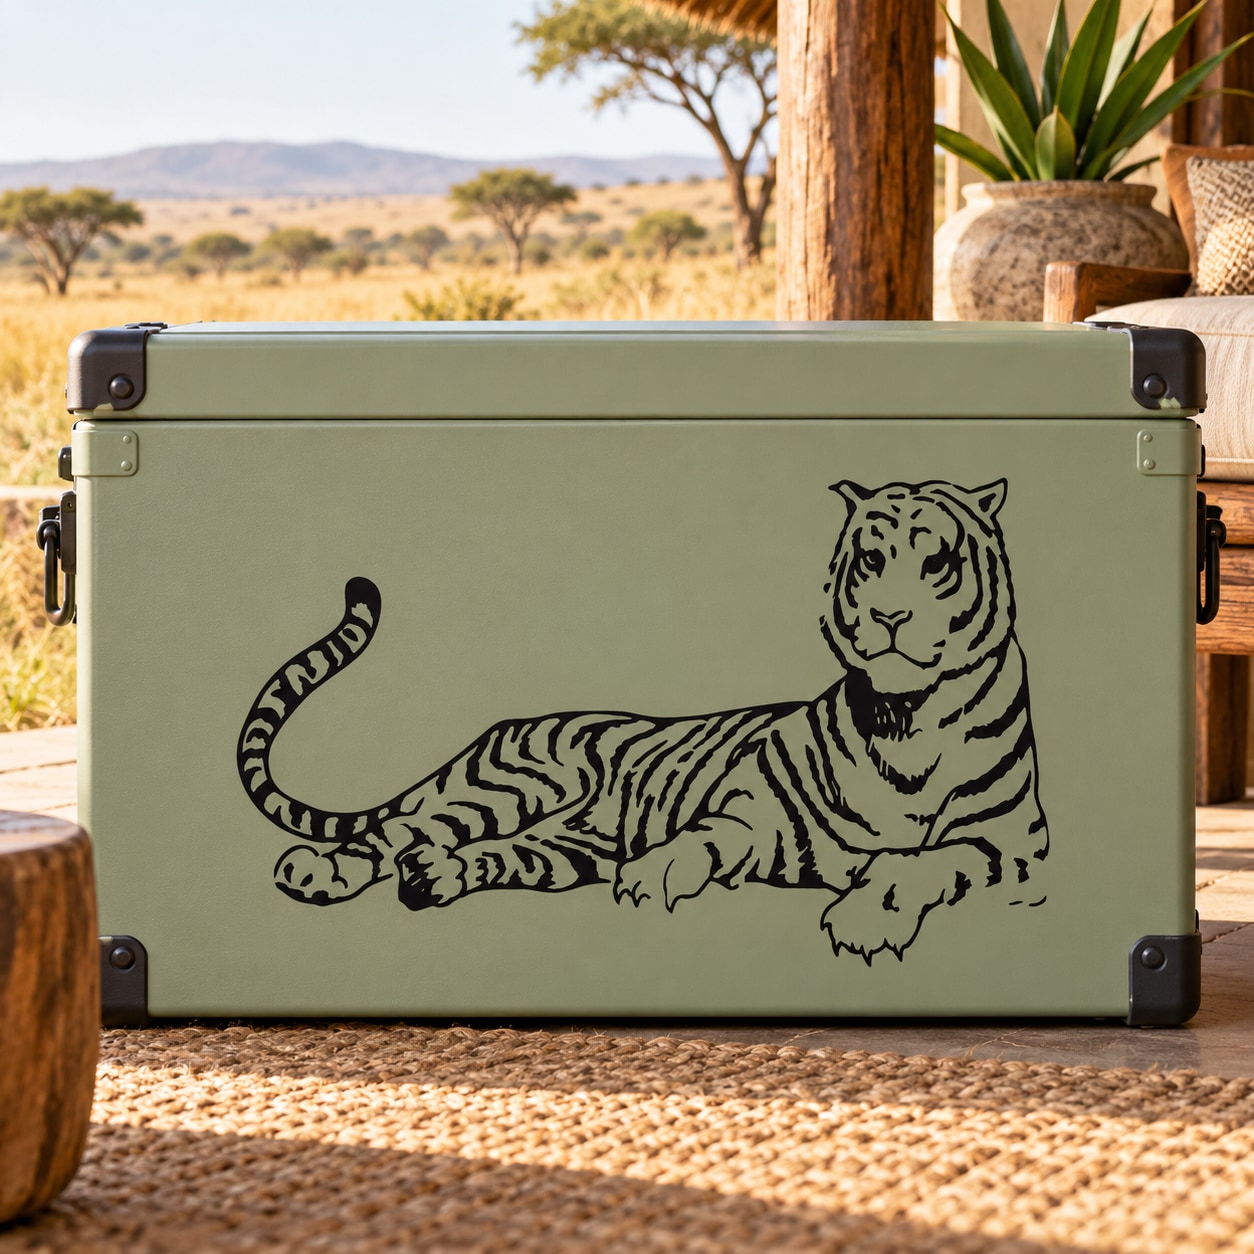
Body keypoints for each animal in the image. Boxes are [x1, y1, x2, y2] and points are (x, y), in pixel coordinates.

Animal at [236, 478, 1048, 963]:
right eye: (871, 561)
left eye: (936, 562)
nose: (889, 616)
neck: (908, 721)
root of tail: (500, 726)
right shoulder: (747, 810)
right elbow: (703, 837)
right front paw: (655, 875)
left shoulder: (1013, 844)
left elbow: (919, 862)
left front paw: (865, 917)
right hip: (511, 788)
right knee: (394, 831)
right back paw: (319, 870)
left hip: (564, 849)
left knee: (472, 854)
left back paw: (433, 878)